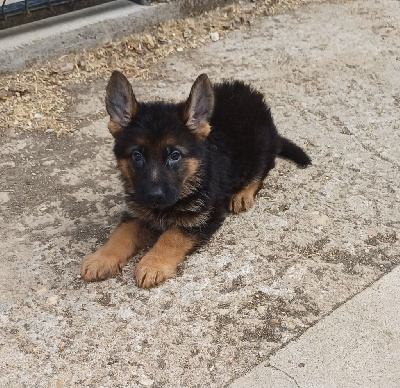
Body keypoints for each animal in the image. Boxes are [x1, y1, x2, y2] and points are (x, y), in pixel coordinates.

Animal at [81, 71, 310, 286]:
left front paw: (153, 264)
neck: (192, 177)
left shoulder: (205, 216)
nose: (154, 196)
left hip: (260, 147)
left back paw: (242, 194)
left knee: (262, 169)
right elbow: (121, 233)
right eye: (137, 156)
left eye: (175, 155)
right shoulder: (138, 210)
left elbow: (172, 236)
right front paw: (102, 258)